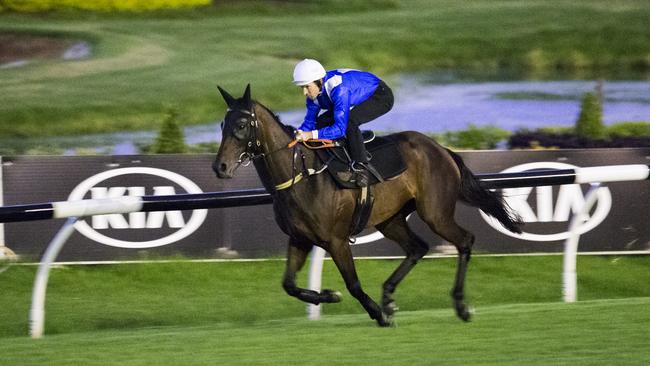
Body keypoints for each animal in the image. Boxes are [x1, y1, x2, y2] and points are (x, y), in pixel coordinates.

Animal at [213, 85, 520, 326]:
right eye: (222, 125)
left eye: (241, 125)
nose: (220, 167)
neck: (301, 176)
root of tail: (441, 149)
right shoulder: (300, 238)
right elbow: (288, 285)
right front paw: (330, 295)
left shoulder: (335, 240)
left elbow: (353, 284)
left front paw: (376, 313)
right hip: (390, 219)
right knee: (417, 247)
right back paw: (389, 296)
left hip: (435, 213)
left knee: (464, 240)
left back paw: (460, 305)